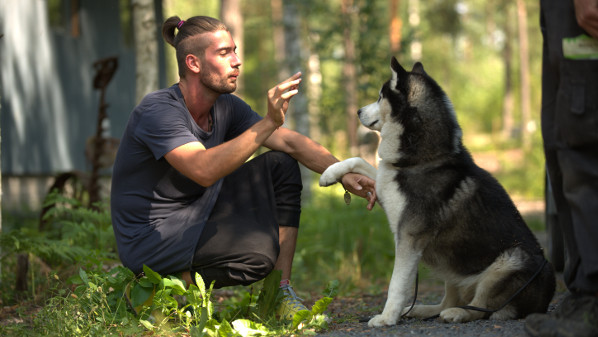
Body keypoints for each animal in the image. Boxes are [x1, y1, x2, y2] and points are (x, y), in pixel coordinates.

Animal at [324, 57, 556, 326]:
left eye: (381, 96)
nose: (358, 111)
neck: (423, 157)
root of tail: (544, 301)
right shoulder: (385, 184)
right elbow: (359, 160)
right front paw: (329, 174)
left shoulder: (409, 236)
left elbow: (396, 284)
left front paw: (387, 317)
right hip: (452, 268)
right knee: (449, 300)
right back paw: (420, 309)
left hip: (510, 260)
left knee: (481, 308)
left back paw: (457, 313)